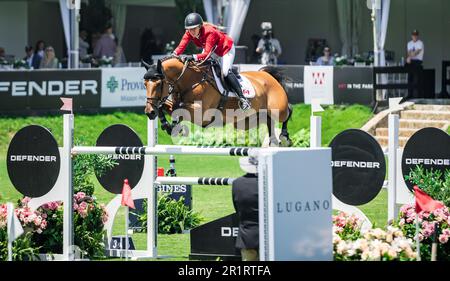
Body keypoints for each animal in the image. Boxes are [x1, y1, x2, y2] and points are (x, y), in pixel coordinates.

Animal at [142, 55, 294, 145]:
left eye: (158, 83)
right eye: (145, 84)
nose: (149, 112)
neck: (190, 80)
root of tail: (268, 76)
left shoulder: (202, 114)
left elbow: (178, 107)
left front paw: (171, 126)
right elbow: (168, 106)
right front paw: (167, 125)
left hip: (278, 110)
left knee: (288, 111)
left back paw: (285, 137)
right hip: (246, 121)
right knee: (268, 122)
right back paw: (274, 141)